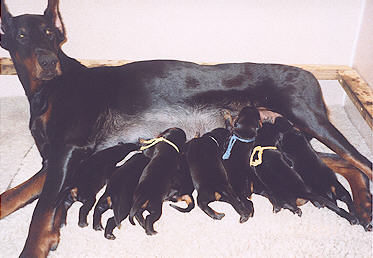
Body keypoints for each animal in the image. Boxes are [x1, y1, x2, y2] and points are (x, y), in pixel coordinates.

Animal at [1, 0, 370, 255]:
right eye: (21, 35)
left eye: (50, 34)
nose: (48, 61)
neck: (50, 89)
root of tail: (310, 75)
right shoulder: (54, 160)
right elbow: (13, 197)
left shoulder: (68, 149)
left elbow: (41, 211)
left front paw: (36, 246)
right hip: (285, 136)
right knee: (343, 164)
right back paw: (363, 203)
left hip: (308, 118)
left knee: (360, 161)